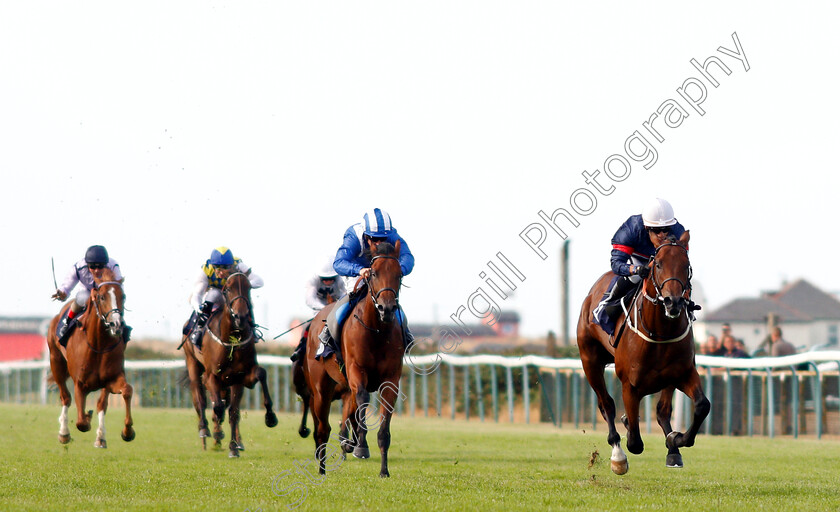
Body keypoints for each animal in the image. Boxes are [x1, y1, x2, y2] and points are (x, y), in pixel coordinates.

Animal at [45, 268, 134, 448]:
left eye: (123, 296)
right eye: (102, 297)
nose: (116, 325)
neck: (98, 345)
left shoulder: (111, 379)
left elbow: (126, 390)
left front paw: (127, 432)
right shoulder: (80, 383)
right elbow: (81, 423)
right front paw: (85, 417)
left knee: (101, 404)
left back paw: (101, 437)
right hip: (56, 362)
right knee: (65, 397)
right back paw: (64, 433)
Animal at [182, 272, 278, 456]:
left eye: (249, 288)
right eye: (227, 289)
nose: (241, 317)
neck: (231, 341)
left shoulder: (240, 377)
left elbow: (234, 411)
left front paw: (270, 417)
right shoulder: (211, 376)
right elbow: (218, 407)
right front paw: (218, 432)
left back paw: (234, 441)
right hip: (192, 362)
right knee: (199, 397)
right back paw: (205, 431)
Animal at [304, 242, 406, 478]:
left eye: (399, 274)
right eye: (374, 273)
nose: (387, 308)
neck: (377, 331)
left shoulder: (391, 379)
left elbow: (383, 428)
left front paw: (384, 470)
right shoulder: (355, 371)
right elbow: (361, 401)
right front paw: (361, 447)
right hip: (321, 388)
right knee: (322, 428)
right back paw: (322, 468)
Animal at [576, 230, 704, 474]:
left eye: (687, 265)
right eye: (658, 264)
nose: (673, 302)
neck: (660, 332)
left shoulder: (683, 373)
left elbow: (701, 405)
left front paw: (676, 439)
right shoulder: (630, 385)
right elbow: (634, 441)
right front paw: (624, 443)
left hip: (667, 379)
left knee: (662, 410)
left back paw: (673, 451)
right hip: (590, 361)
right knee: (607, 404)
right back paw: (617, 454)